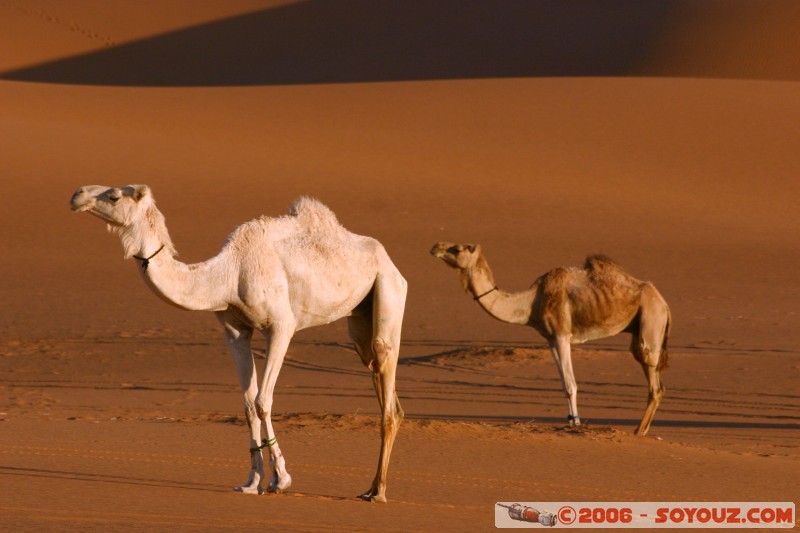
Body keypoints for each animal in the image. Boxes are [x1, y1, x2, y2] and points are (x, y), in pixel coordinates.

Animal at [70, 184, 407, 502]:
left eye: (114, 196)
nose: (77, 195)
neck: (228, 275)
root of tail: (388, 258)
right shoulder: (235, 331)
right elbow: (247, 404)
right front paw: (252, 482)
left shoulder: (281, 326)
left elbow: (262, 401)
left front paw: (280, 479)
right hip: (359, 317)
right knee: (376, 371)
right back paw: (370, 486)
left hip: (388, 287)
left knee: (385, 368)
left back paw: (379, 491)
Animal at [430, 242, 670, 436]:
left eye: (457, 248)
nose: (435, 247)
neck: (531, 302)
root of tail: (664, 304)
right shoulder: (551, 339)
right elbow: (563, 383)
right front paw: (570, 421)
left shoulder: (562, 333)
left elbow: (571, 384)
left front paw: (576, 423)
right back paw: (642, 430)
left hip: (651, 319)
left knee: (654, 381)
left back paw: (639, 431)